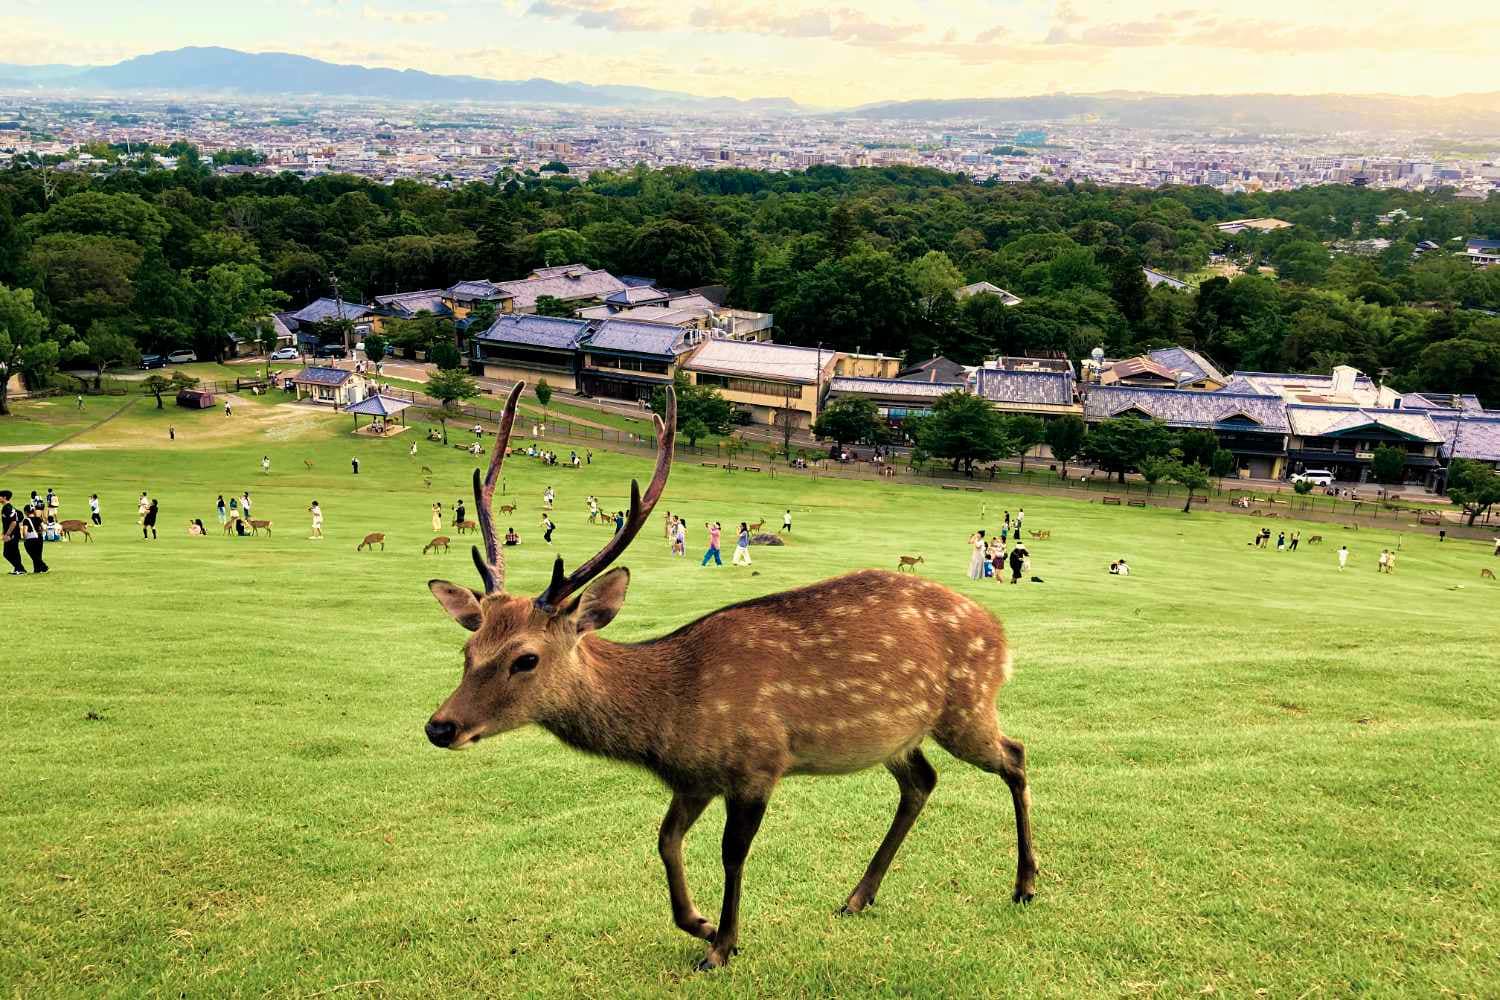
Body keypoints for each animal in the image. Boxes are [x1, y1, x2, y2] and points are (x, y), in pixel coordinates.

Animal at [417, 380, 1038, 971]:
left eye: (526, 658)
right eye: (468, 649)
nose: (439, 727)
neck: (671, 712)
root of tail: (1000, 633)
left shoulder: (757, 764)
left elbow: (731, 853)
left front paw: (723, 944)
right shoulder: (693, 778)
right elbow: (665, 841)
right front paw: (699, 923)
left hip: (966, 706)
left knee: (1014, 755)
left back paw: (1025, 884)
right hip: (897, 735)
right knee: (922, 782)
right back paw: (858, 896)